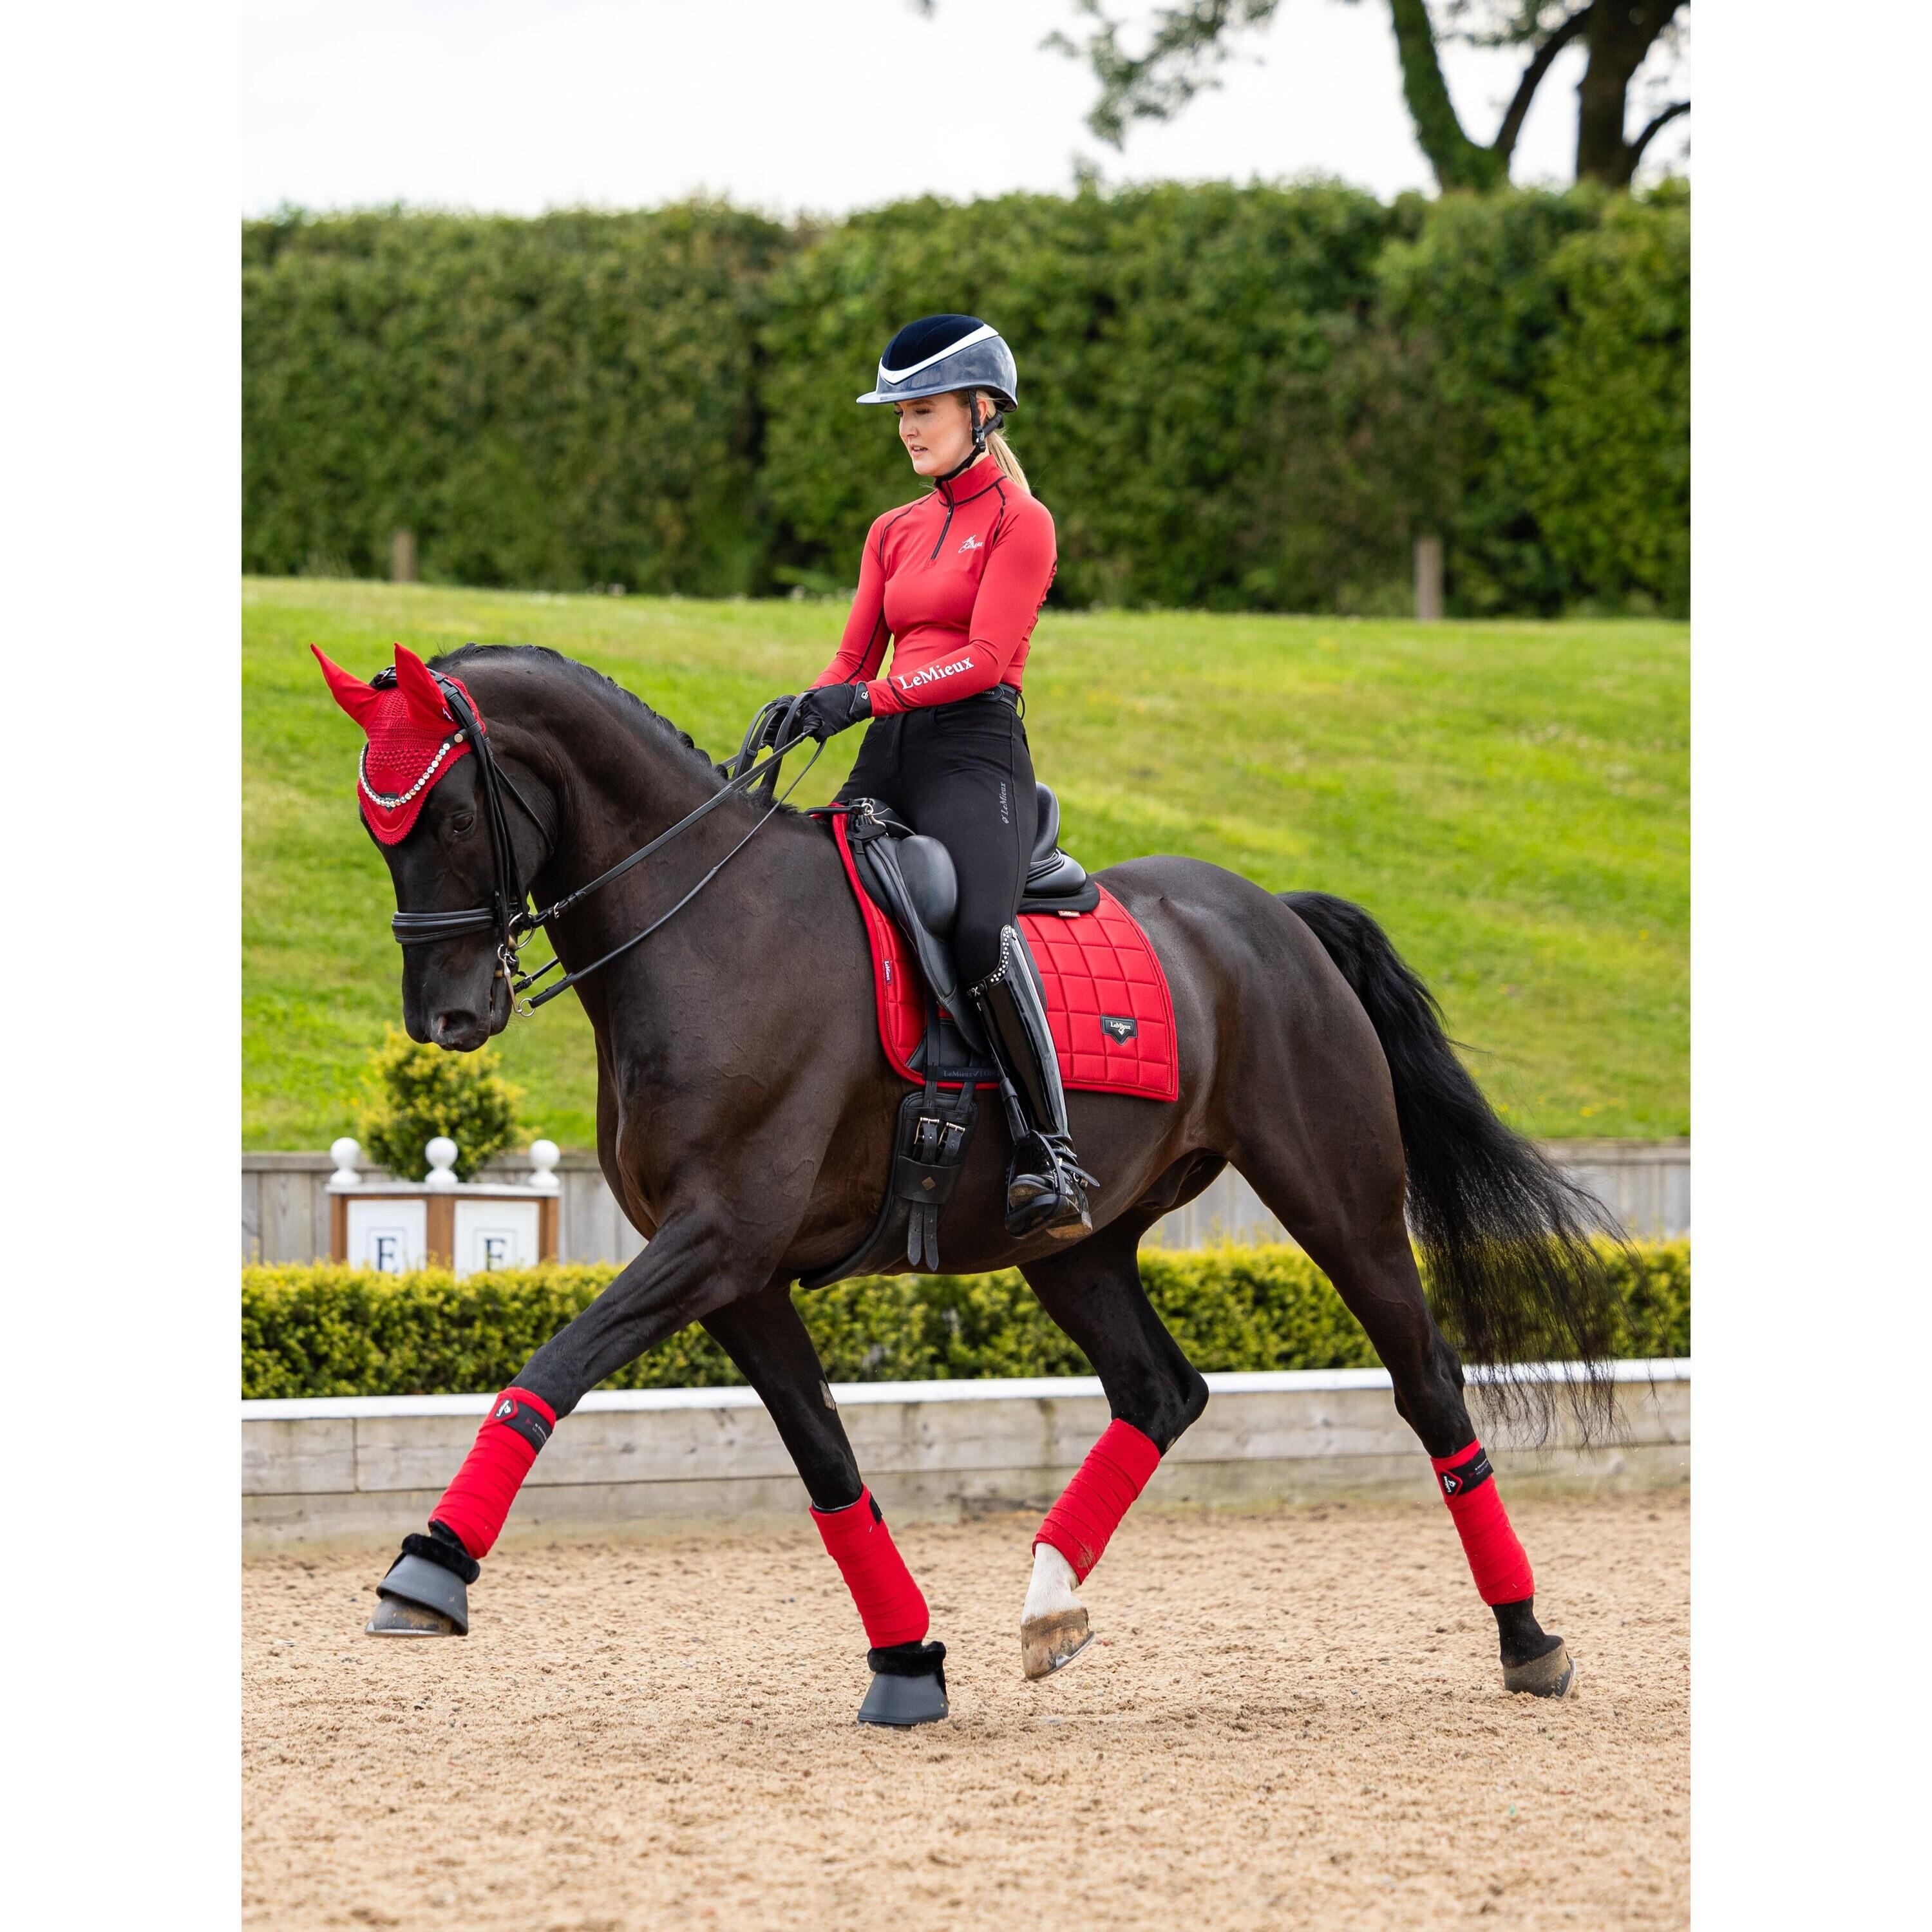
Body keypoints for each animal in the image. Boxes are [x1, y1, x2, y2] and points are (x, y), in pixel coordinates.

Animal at [323, 640, 1618, 1721]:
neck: (708, 929)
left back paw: (1528, 1639)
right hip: (1076, 1245)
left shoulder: (716, 1241)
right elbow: (829, 1462)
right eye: (377, 830)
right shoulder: (738, 1275)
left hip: (1339, 1203)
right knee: (1161, 1392)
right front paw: (908, 1663)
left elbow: (551, 1368)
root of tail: (1274, 916)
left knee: (1429, 1384)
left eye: (447, 811)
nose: (447, 1018)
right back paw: (1050, 1605)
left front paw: (429, 1568)